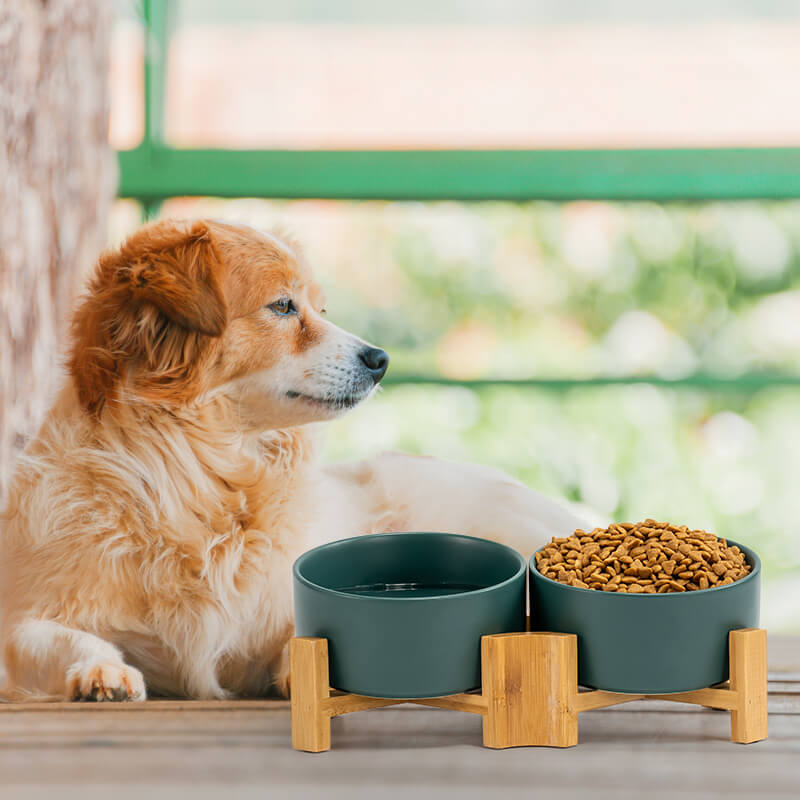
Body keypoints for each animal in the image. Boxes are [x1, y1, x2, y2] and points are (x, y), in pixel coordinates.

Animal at [0, 219, 588, 700]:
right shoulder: (27, 619)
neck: (200, 478)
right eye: (283, 306)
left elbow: (301, 637)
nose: (381, 359)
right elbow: (58, 640)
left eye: (320, 310)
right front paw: (100, 670)